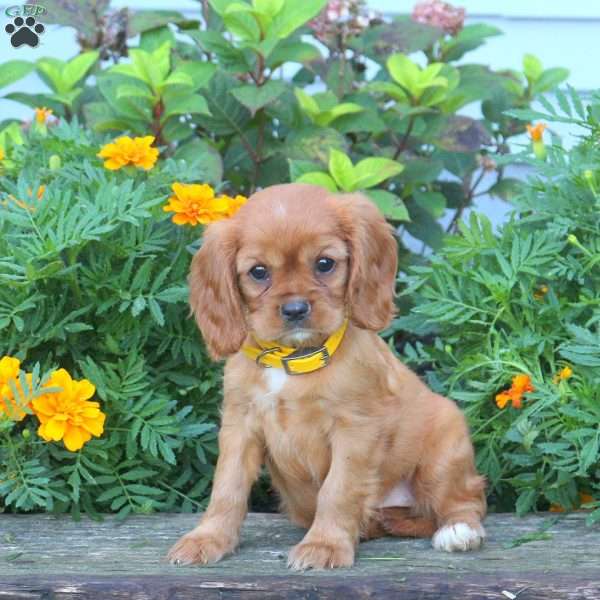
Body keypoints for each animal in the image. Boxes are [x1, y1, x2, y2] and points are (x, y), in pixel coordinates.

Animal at [166, 185, 486, 568]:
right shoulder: (239, 425)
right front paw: (207, 538)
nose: (295, 309)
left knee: (466, 500)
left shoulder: (355, 429)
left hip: (444, 449)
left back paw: (458, 532)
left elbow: (339, 489)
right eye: (258, 272)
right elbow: (227, 487)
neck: (293, 359)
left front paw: (325, 545)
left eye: (324, 264)